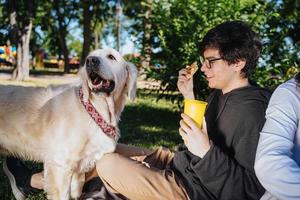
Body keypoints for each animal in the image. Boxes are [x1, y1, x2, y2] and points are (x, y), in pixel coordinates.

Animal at [0, 48, 138, 200]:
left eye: (111, 57)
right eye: (90, 56)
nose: (91, 61)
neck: (95, 110)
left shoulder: (79, 170)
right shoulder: (60, 166)